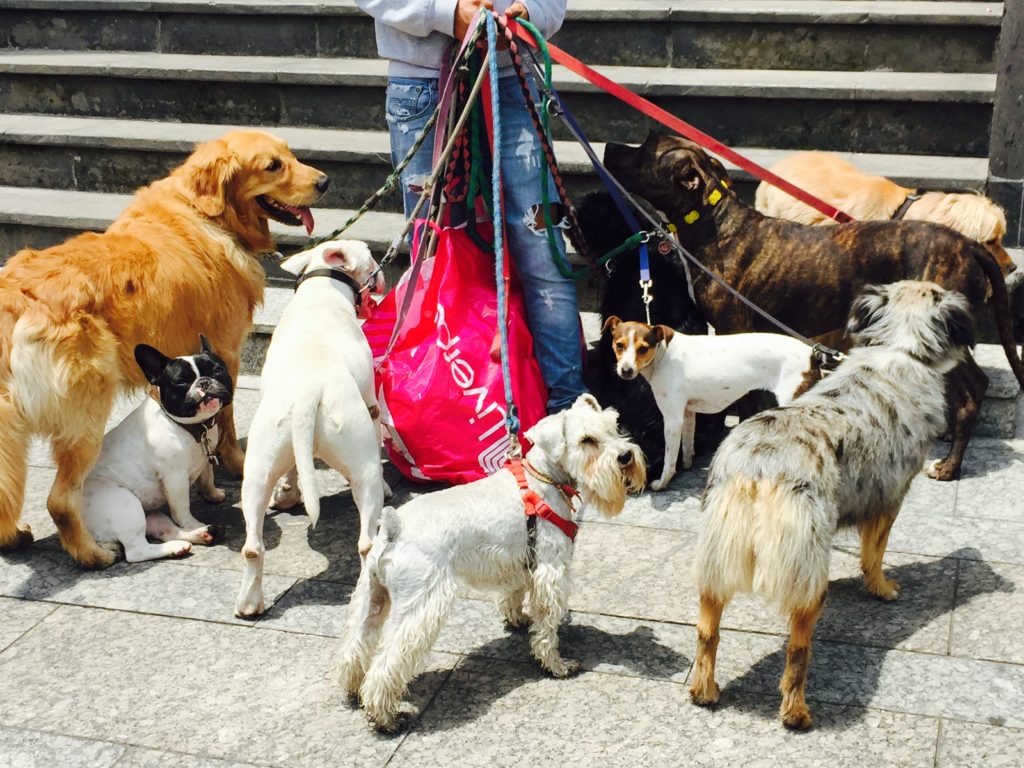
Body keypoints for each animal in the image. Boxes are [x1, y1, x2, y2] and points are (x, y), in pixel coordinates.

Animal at [81, 339, 232, 561]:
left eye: (218, 370)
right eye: (181, 382)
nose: (204, 382)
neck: (186, 426)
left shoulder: (206, 456)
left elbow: (207, 478)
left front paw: (213, 495)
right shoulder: (175, 479)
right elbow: (182, 509)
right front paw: (193, 522)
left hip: (152, 514)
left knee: (165, 529)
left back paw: (200, 535)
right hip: (125, 504)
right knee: (137, 550)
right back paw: (192, 535)